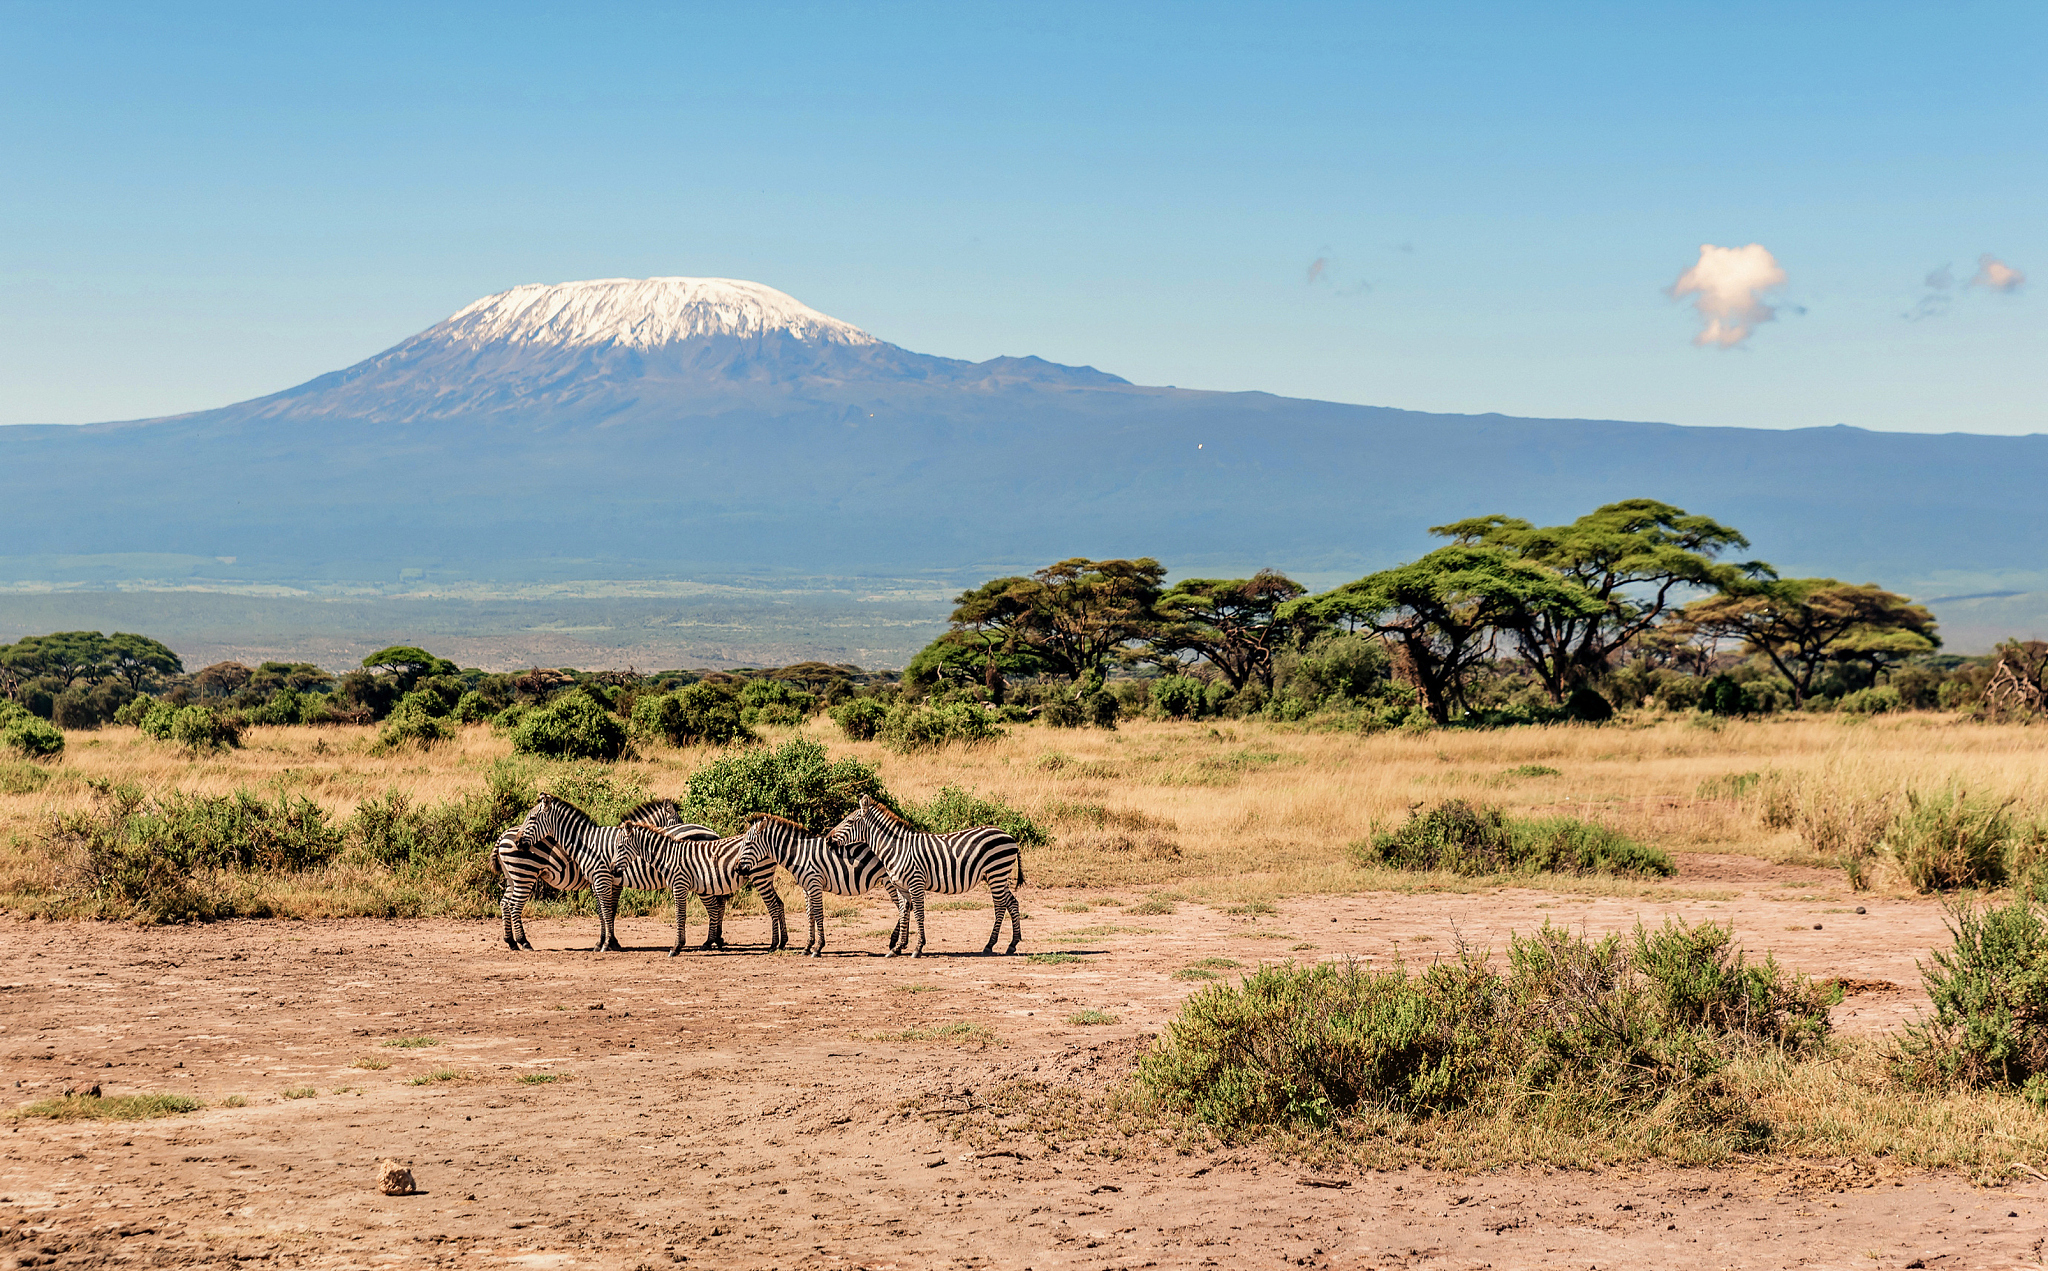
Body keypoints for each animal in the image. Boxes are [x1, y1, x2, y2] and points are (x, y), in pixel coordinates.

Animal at [492, 793, 683, 952]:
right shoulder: (609, 880)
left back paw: (511, 942)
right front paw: (609, 942)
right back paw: (524, 942)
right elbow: (608, 910)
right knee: (514, 905)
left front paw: (607, 942)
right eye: (678, 822)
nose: (679, 842)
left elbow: (605, 910)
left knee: (505, 903)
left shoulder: (607, 881)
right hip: (525, 875)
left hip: (512, 877)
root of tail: (503, 835)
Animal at [617, 819, 788, 956]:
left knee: (773, 906)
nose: (613, 870)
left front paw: (676, 947)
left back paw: (773, 944)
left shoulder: (679, 884)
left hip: (760, 876)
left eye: (619, 847)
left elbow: (680, 915)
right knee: (779, 904)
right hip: (765, 878)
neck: (668, 856)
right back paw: (783, 942)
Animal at [741, 814, 906, 957]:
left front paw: (818, 947)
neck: (799, 855)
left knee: (903, 907)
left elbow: (819, 913)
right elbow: (810, 915)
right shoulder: (806, 887)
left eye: (748, 844)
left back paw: (895, 943)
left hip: (890, 881)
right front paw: (808, 946)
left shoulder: (815, 884)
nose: (738, 868)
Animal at [826, 795, 1025, 957]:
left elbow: (919, 914)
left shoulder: (916, 883)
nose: (827, 839)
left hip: (996, 873)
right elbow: (903, 912)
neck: (897, 849)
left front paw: (918, 948)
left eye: (849, 821)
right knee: (1012, 903)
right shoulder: (901, 887)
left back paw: (989, 945)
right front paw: (897, 948)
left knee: (1000, 907)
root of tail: (1009, 836)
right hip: (997, 876)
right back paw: (1012, 944)